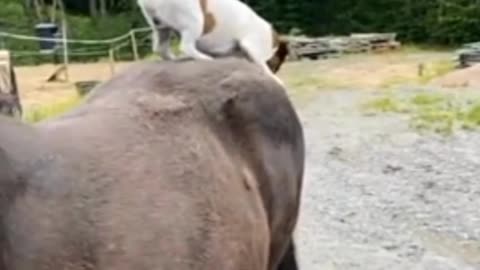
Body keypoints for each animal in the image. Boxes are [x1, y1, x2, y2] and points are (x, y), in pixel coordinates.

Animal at [137, 0, 290, 84]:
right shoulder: (253, 47)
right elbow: (262, 65)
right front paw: (276, 80)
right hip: (195, 20)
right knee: (186, 46)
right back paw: (205, 58)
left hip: (161, 28)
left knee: (160, 48)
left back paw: (174, 59)